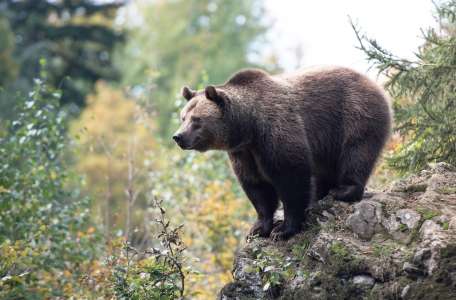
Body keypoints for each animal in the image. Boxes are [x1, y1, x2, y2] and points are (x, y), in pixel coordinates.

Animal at [175, 67, 392, 240]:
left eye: (197, 120)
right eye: (183, 117)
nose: (178, 136)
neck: (248, 127)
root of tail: (374, 83)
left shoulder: (276, 132)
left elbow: (291, 178)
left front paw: (283, 230)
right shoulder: (244, 153)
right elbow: (257, 188)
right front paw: (258, 228)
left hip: (354, 114)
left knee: (356, 152)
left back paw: (344, 190)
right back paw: (320, 195)